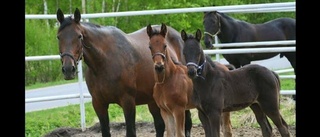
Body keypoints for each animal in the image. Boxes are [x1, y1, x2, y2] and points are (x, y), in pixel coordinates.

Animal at [55, 8, 192, 137]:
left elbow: (130, 132)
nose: (68, 69)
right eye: (58, 37)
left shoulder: (128, 102)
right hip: (153, 100)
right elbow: (105, 132)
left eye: (79, 36)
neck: (105, 63)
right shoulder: (99, 104)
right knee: (160, 126)